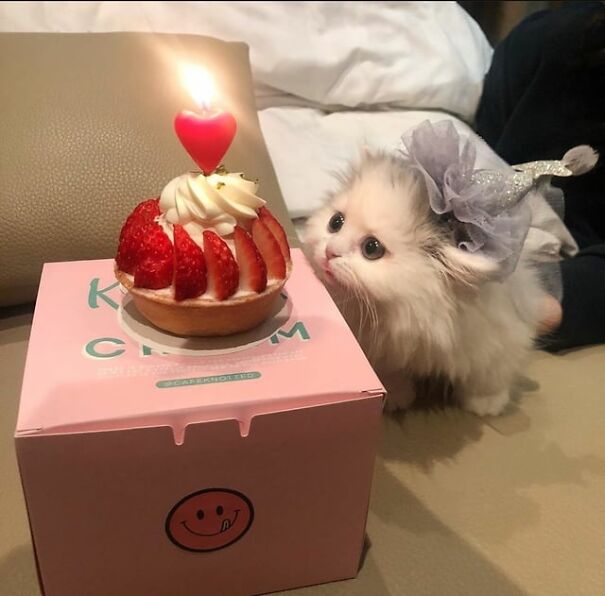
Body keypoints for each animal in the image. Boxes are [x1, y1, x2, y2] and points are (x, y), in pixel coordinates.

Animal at [302, 151, 544, 416]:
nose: (329, 252)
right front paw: (396, 396)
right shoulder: (379, 345)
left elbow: (489, 375)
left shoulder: (498, 335)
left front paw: (487, 403)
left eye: (372, 248)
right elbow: (389, 372)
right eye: (335, 222)